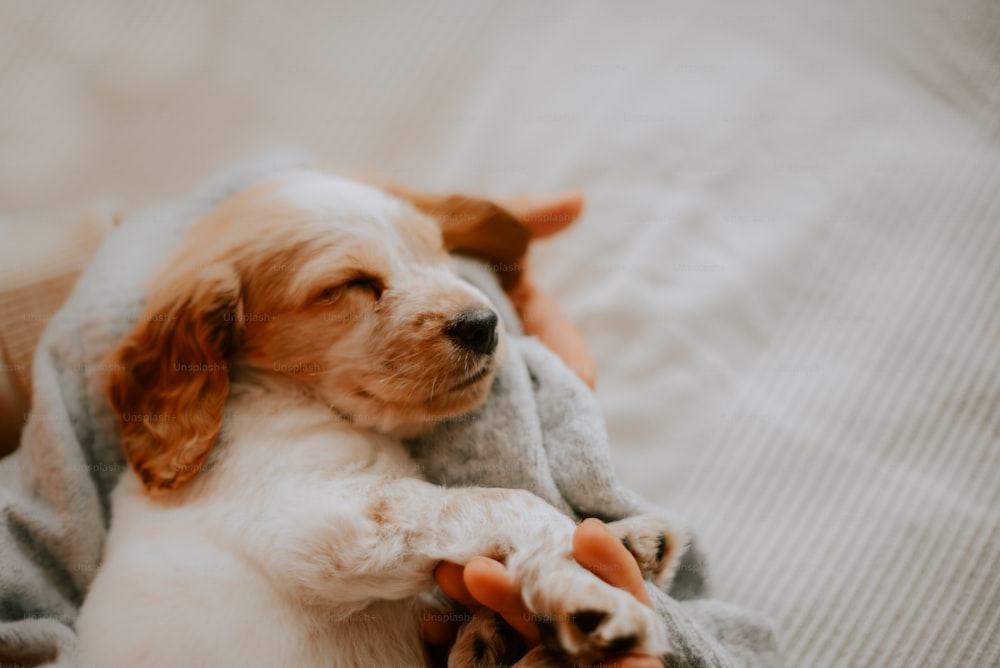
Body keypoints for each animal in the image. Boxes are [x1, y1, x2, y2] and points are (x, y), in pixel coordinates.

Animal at [78, 174, 684, 668]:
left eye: (438, 250)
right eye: (347, 285)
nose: (484, 324)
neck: (296, 397)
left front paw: (618, 541)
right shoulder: (322, 525)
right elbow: (504, 500)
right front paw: (589, 594)